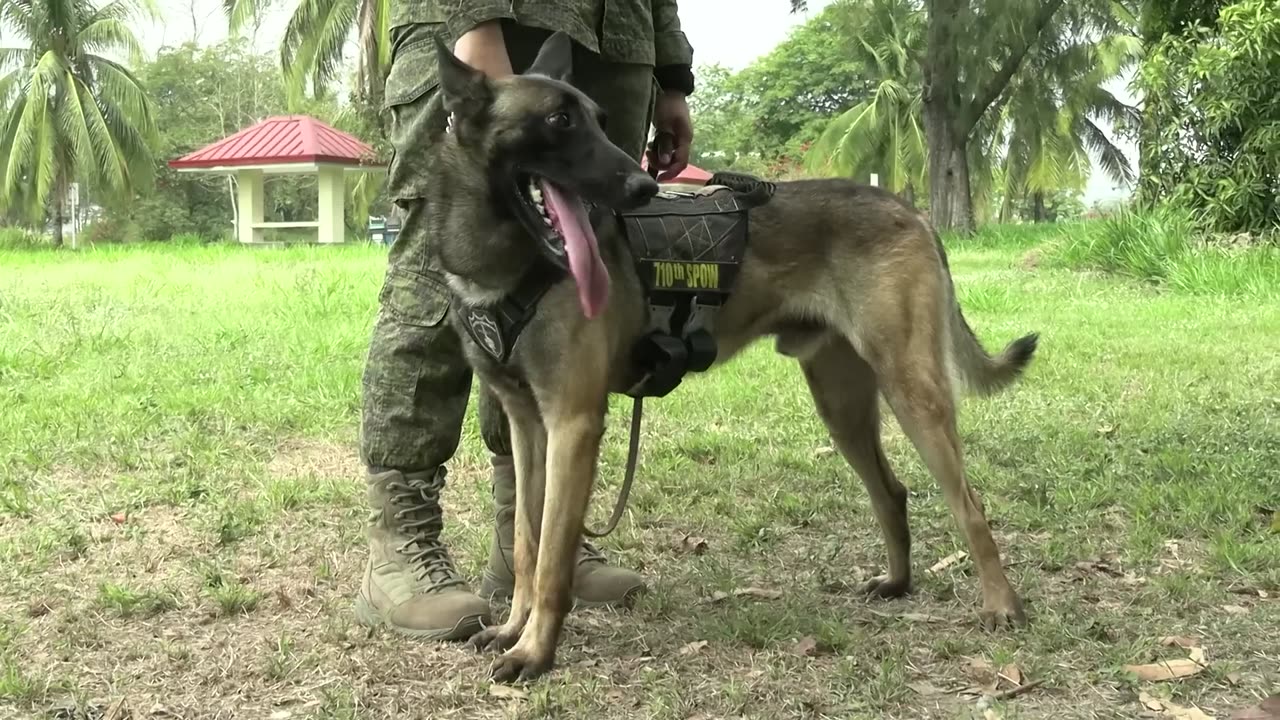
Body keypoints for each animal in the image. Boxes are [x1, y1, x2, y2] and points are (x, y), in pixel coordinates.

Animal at [422, 32, 1039, 676]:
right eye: (560, 121)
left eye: (599, 120)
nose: (643, 188)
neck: (507, 261)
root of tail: (908, 206)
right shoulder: (527, 426)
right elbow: (525, 541)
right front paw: (511, 628)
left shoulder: (572, 423)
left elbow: (550, 562)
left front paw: (535, 651)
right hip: (843, 406)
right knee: (891, 491)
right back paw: (898, 583)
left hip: (912, 391)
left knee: (969, 503)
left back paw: (1001, 605)